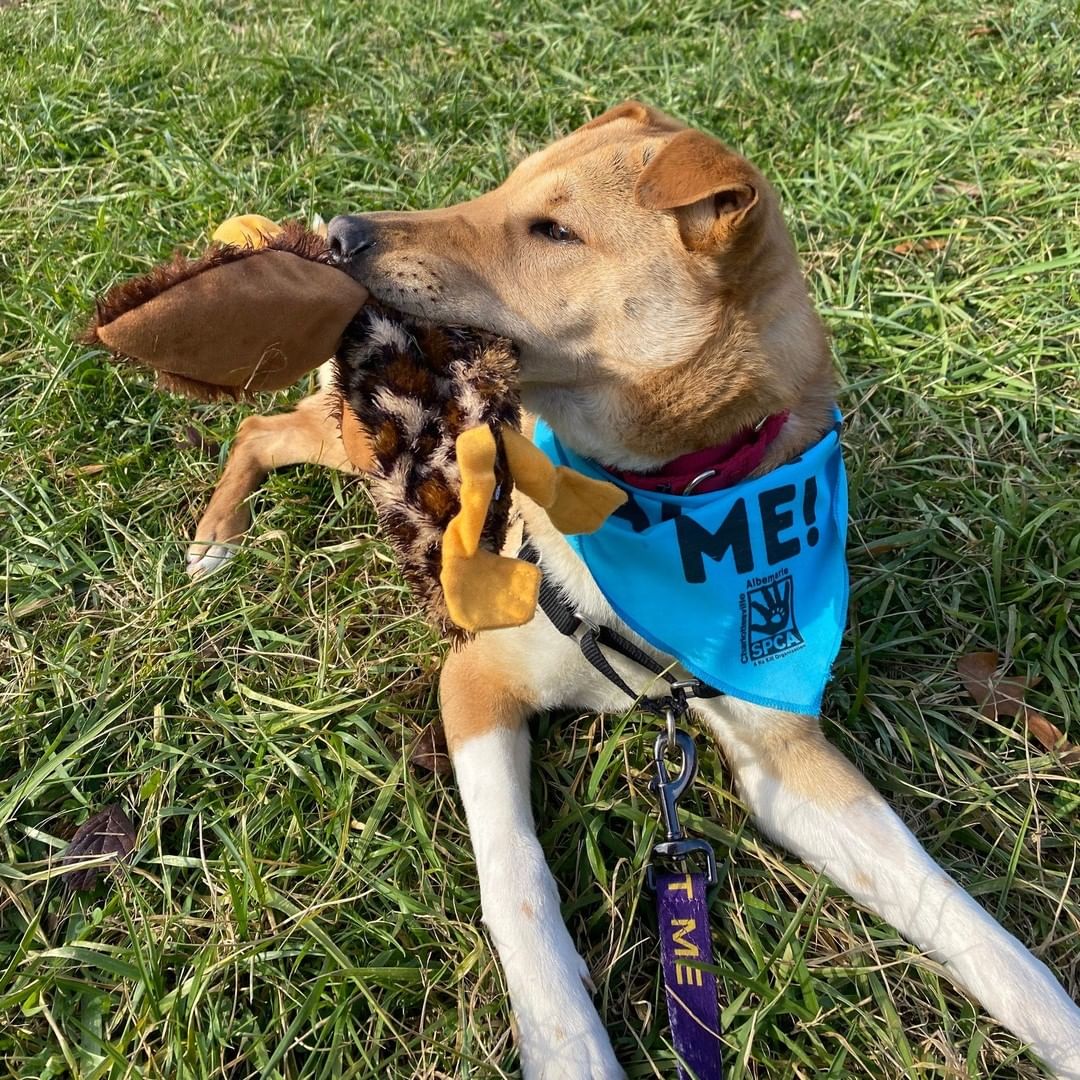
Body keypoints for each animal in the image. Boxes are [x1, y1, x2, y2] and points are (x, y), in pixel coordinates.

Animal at [187, 103, 1080, 1080]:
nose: (344, 236)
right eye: (501, 187)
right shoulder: (476, 682)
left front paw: (1058, 1028)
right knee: (259, 426)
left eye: (554, 230)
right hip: (357, 438)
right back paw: (215, 539)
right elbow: (518, 878)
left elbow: (958, 912)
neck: (657, 499)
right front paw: (568, 1043)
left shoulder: (780, 747)